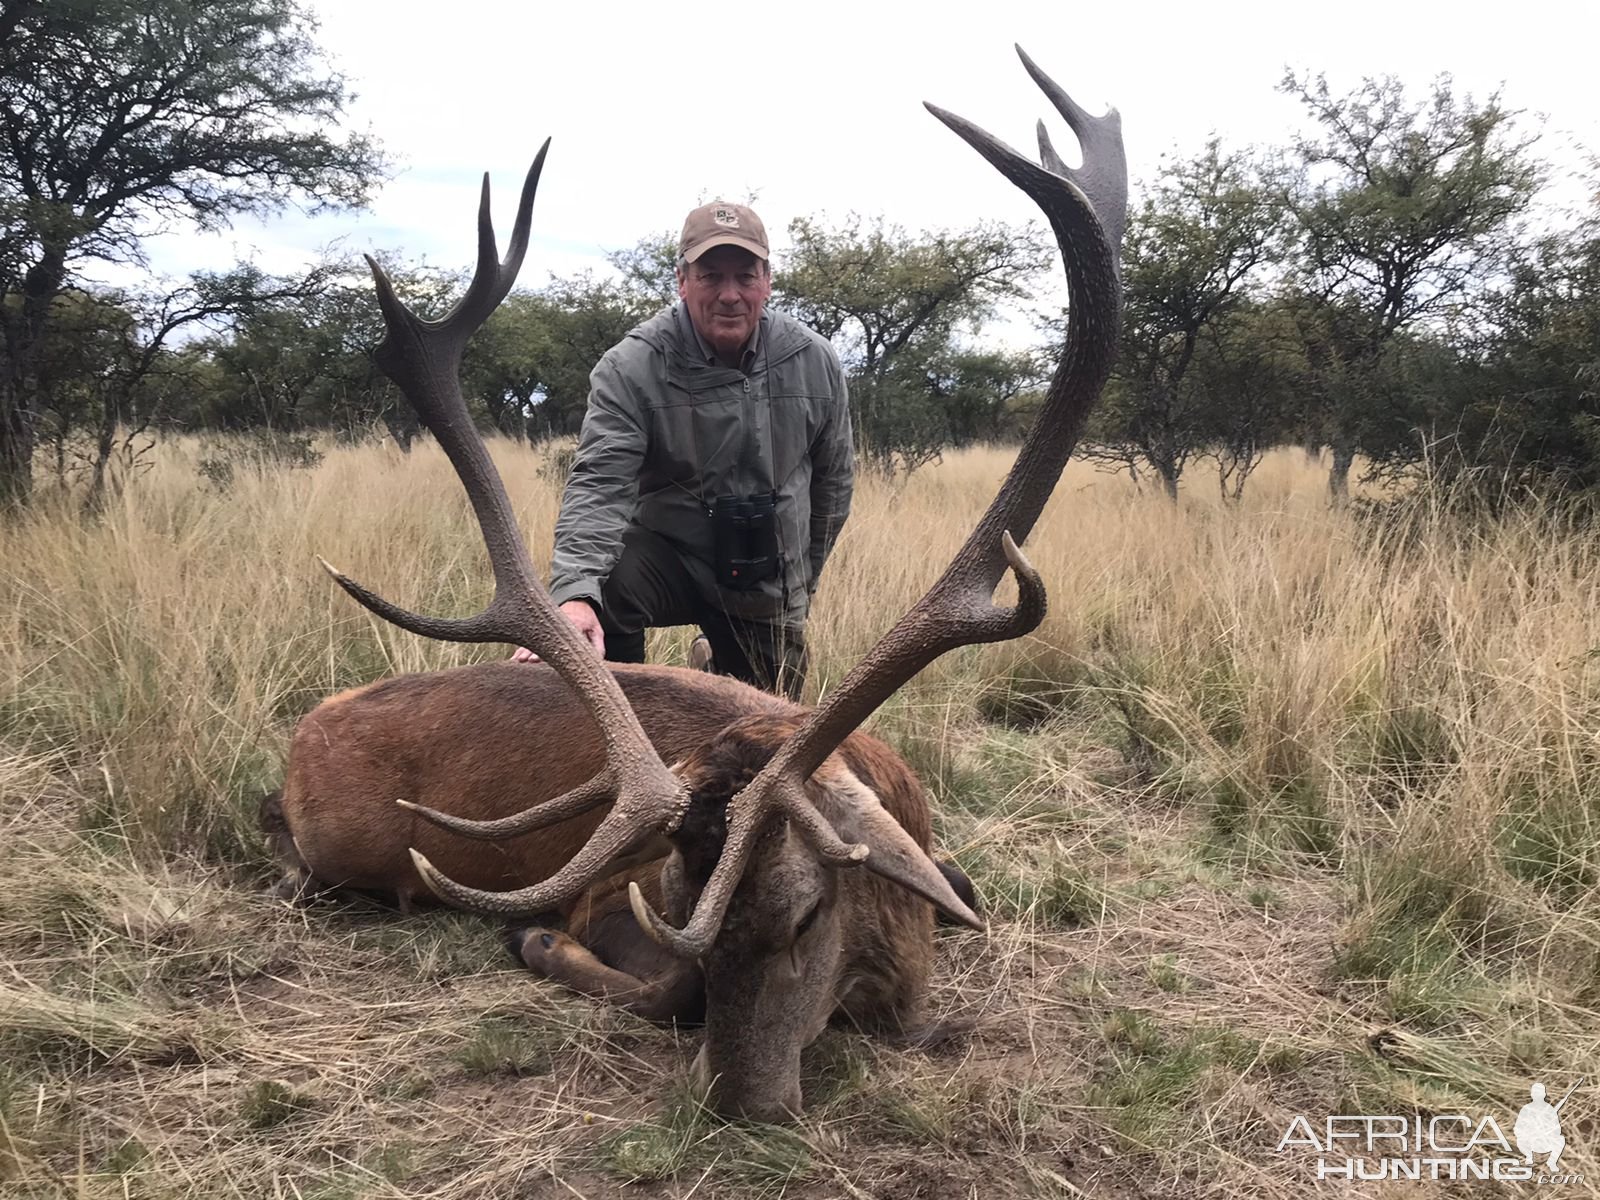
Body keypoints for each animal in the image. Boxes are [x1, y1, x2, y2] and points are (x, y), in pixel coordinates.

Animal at [272, 51, 1126, 1126]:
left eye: (808, 914)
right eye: (682, 908)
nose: (744, 1102)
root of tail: (304, 731)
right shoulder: (608, 892)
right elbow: (658, 990)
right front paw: (535, 940)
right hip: (334, 849)